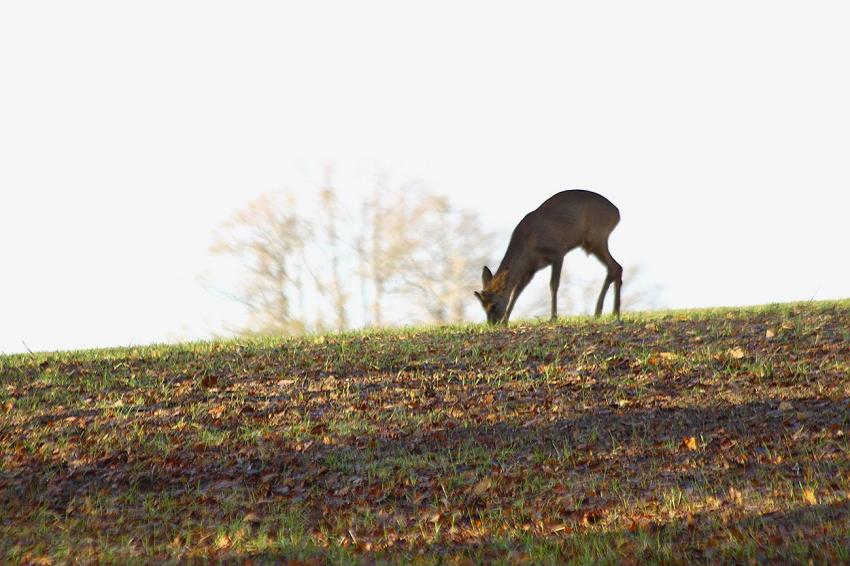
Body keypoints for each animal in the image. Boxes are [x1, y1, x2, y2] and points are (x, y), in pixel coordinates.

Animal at [470, 190, 624, 324]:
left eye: (494, 305)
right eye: (483, 306)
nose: (492, 324)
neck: (528, 243)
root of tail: (617, 213)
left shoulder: (558, 252)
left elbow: (553, 284)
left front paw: (553, 317)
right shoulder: (530, 269)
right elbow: (516, 292)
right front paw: (505, 321)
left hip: (596, 238)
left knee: (614, 267)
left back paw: (608, 312)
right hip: (592, 243)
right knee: (616, 267)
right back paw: (609, 312)